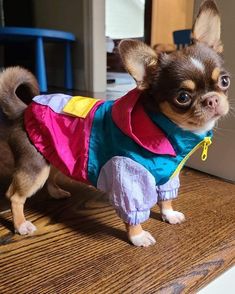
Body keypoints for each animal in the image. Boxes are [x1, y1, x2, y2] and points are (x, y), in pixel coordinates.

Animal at [0, 1, 229, 247]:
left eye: (225, 81)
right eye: (183, 97)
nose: (212, 99)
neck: (163, 127)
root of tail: (24, 110)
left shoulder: (168, 174)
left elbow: (166, 198)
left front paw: (168, 214)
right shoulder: (128, 177)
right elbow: (133, 211)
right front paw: (137, 236)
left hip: (54, 155)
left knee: (52, 175)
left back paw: (56, 193)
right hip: (35, 166)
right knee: (14, 195)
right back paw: (21, 224)